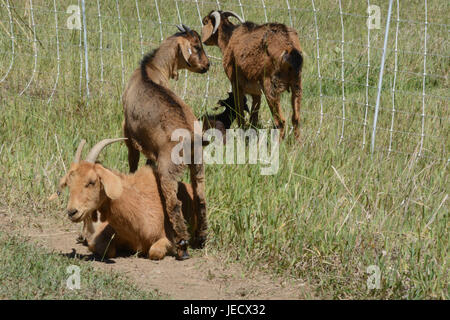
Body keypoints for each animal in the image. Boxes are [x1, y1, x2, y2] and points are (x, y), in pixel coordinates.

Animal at [59, 138, 196, 260]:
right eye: (69, 184)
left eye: (91, 182)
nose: (72, 212)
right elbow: (105, 250)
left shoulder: (167, 239)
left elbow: (154, 252)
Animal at [123, 25, 211, 260]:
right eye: (197, 46)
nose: (207, 65)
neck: (149, 70)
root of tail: (191, 135)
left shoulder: (128, 133)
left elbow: (133, 161)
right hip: (198, 164)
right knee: (200, 197)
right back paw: (201, 238)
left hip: (169, 168)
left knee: (174, 203)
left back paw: (182, 246)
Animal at [202, 11, 304, 140]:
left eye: (205, 22)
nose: (203, 40)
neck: (230, 38)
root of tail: (289, 47)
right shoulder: (256, 92)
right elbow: (254, 115)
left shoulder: (236, 84)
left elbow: (240, 113)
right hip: (297, 84)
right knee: (296, 118)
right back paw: (298, 142)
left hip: (271, 87)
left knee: (280, 121)